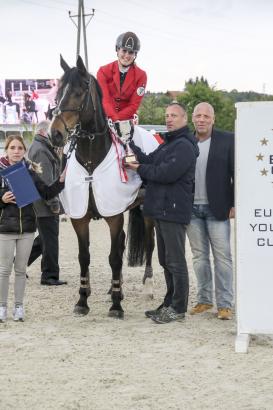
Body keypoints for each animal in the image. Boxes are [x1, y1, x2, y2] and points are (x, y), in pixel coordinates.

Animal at [49, 55, 154, 318]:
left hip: (147, 211)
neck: (91, 160)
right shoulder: (80, 218)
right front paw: (82, 300)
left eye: (78, 92)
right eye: (58, 92)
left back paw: (146, 286)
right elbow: (84, 257)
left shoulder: (114, 216)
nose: (55, 134)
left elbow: (114, 258)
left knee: (149, 244)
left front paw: (116, 305)